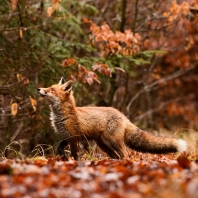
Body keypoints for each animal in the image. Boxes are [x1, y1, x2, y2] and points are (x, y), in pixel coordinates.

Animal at [38, 76, 187, 160]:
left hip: (111, 141)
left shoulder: (74, 137)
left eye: (51, 89)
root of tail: (123, 116)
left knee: (125, 154)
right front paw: (64, 158)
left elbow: (74, 154)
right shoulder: (66, 137)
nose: (39, 89)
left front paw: (74, 163)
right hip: (103, 144)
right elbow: (59, 149)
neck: (63, 114)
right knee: (116, 156)